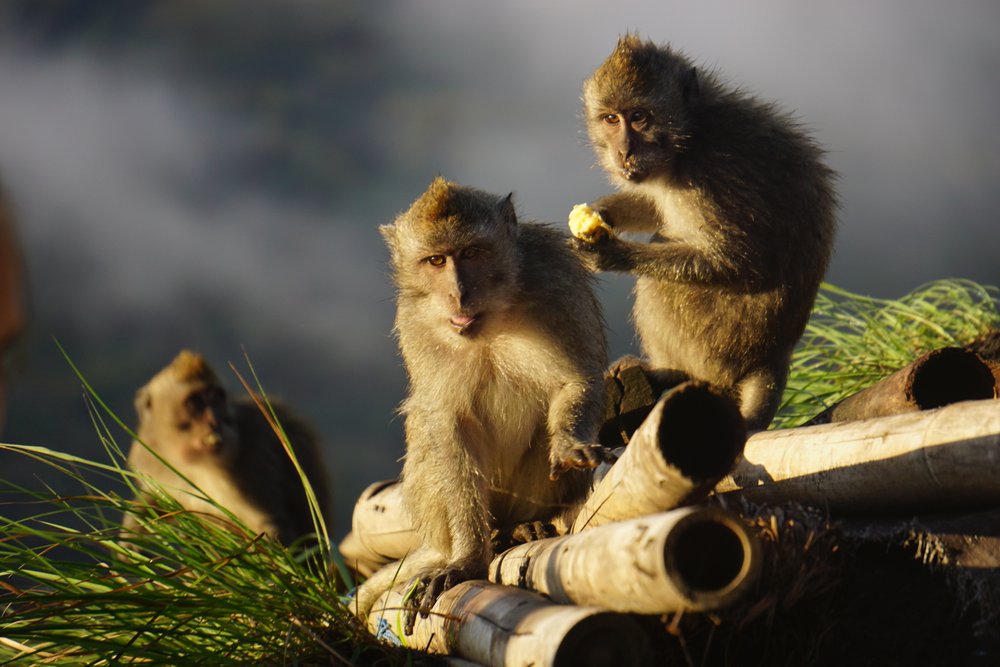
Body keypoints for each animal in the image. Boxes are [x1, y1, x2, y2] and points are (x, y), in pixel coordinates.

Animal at [123, 352, 330, 552]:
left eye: (217, 398)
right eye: (195, 402)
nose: (215, 421)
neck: (195, 464)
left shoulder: (253, 458)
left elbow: (272, 528)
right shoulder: (147, 456)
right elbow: (158, 499)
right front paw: (132, 527)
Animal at [360, 177, 608, 628]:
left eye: (472, 253)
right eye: (436, 260)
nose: (458, 293)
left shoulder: (556, 278)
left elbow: (573, 381)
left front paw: (568, 443)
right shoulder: (414, 322)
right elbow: (446, 423)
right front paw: (468, 559)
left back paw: (523, 527)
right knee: (425, 427)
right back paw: (491, 537)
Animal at [572, 34, 836, 430]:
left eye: (639, 118)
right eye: (610, 119)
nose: (624, 151)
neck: (691, 136)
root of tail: (773, 355)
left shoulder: (714, 179)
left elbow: (738, 262)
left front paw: (611, 253)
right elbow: (655, 207)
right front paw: (603, 213)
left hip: (718, 344)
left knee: (660, 285)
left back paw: (667, 371)